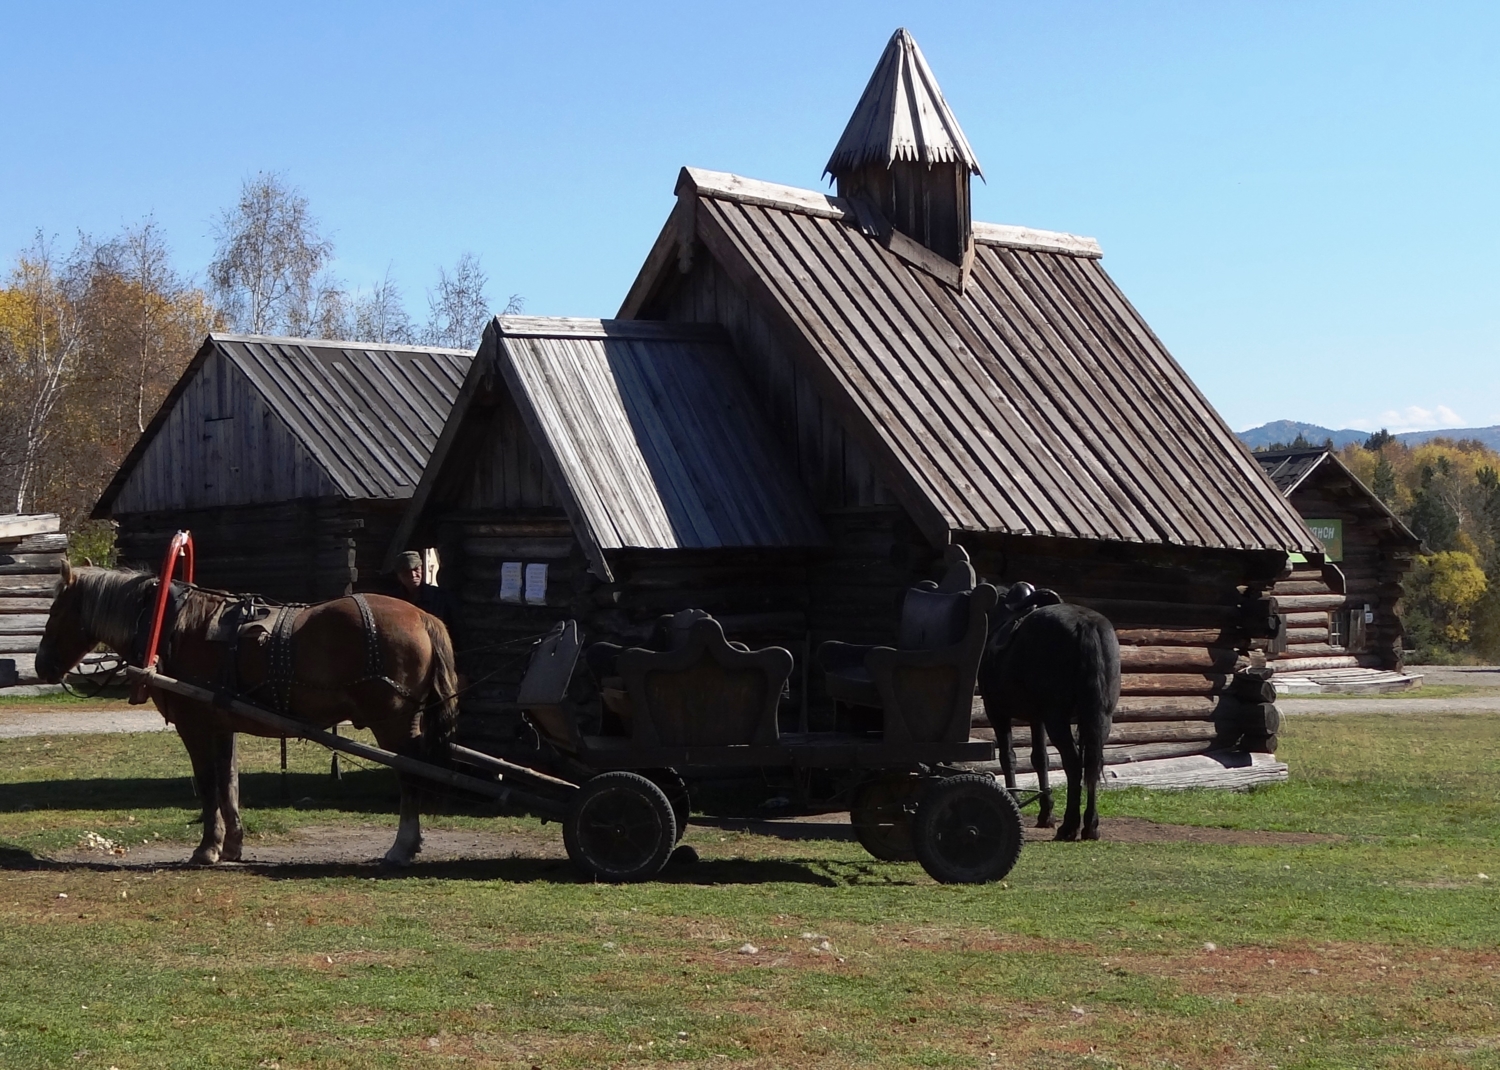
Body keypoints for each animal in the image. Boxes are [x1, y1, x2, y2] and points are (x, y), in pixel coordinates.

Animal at [35, 564, 456, 864]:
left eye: (56, 611)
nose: (40, 666)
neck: (173, 626)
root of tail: (423, 618)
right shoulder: (223, 725)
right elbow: (229, 783)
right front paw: (232, 844)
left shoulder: (195, 726)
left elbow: (208, 784)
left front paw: (207, 848)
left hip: (394, 723)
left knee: (409, 775)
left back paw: (402, 845)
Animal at [978, 588, 1122, 840]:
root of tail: (1086, 624)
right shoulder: (1038, 718)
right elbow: (1040, 759)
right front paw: (1046, 813)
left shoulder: (997, 712)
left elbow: (1008, 757)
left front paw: (1014, 799)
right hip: (1100, 718)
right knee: (1093, 763)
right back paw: (1090, 826)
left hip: (1057, 719)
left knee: (1073, 764)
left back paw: (1070, 826)